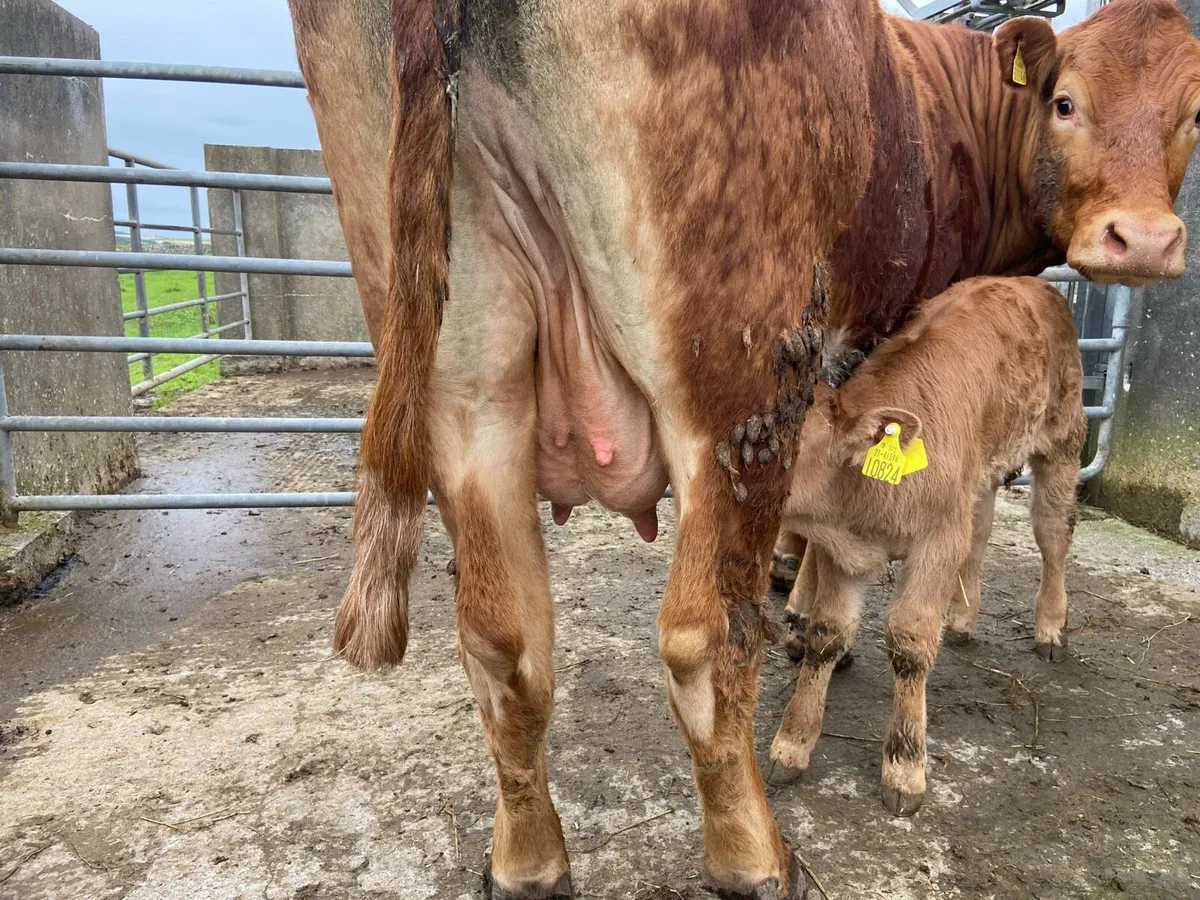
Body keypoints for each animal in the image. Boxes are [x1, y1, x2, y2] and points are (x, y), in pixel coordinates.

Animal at [765, 275, 1087, 816]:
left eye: (790, 446)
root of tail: (1035, 284)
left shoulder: (935, 543)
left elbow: (910, 641)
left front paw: (904, 767)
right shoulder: (843, 551)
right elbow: (826, 634)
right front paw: (791, 745)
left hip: (1063, 439)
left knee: (1053, 534)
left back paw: (1050, 628)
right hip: (977, 479)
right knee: (980, 531)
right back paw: (960, 619)